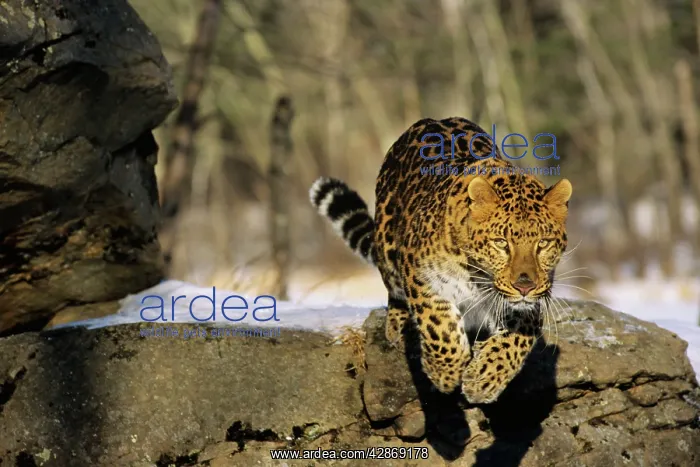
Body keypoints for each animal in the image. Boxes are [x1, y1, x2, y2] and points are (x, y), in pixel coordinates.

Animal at [309, 116, 572, 404]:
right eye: (501, 243)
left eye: (543, 243)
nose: (524, 286)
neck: (478, 278)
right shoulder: (421, 277)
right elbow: (440, 326)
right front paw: (445, 373)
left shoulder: (532, 299)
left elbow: (516, 340)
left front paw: (484, 379)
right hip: (388, 246)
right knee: (395, 292)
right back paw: (397, 328)